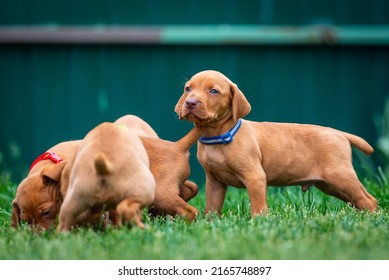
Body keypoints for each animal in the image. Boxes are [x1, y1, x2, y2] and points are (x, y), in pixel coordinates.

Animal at [175, 69, 376, 214]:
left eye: (214, 91)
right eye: (188, 89)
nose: (190, 103)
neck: (217, 137)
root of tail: (339, 133)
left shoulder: (255, 177)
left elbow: (258, 207)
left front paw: (258, 223)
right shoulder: (215, 182)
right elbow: (212, 208)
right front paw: (209, 224)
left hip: (340, 176)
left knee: (368, 200)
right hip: (330, 185)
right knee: (359, 200)